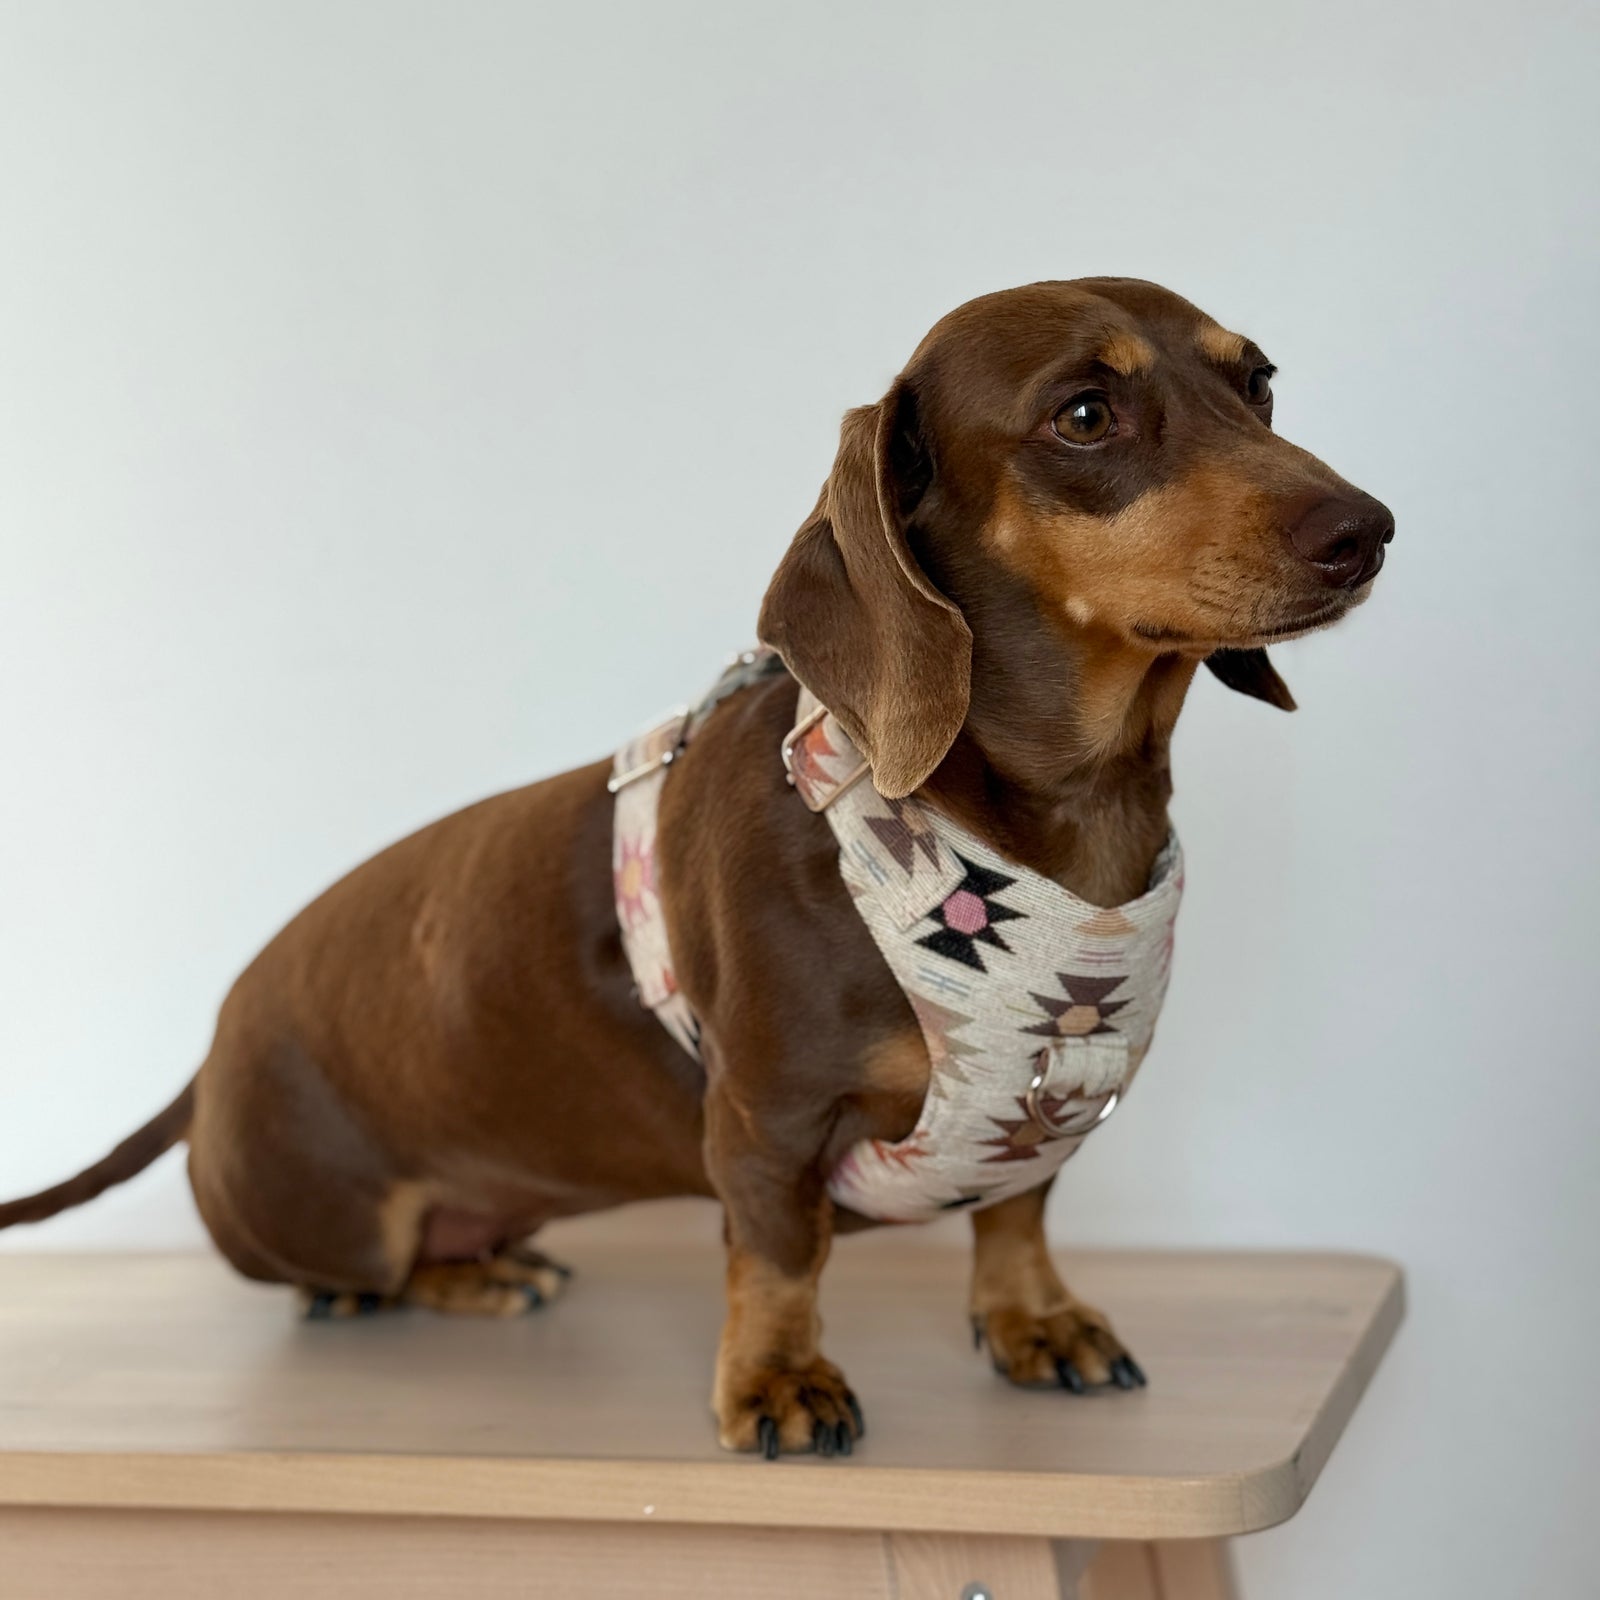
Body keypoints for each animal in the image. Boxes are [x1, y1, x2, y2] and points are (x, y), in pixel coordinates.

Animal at [0, 278, 1392, 1459]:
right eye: (1085, 412)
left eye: (1258, 382)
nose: (1366, 530)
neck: (1046, 825)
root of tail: (213, 1049)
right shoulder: (767, 1119)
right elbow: (778, 1258)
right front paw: (778, 1380)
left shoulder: (1047, 1114)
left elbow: (1015, 1210)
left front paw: (1031, 1316)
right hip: (324, 1218)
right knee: (345, 1273)